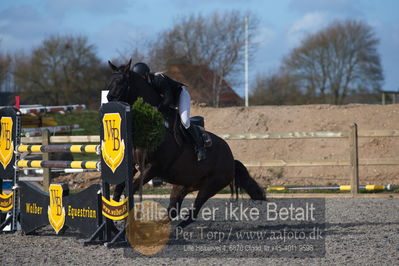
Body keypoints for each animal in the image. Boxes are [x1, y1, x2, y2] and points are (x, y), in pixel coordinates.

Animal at [106, 60, 266, 227]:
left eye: (120, 82)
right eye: (109, 82)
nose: (109, 101)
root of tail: (232, 159)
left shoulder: (153, 167)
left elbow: (129, 190)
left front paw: (123, 221)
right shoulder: (133, 165)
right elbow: (118, 190)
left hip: (210, 186)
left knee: (193, 212)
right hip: (183, 184)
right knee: (173, 210)